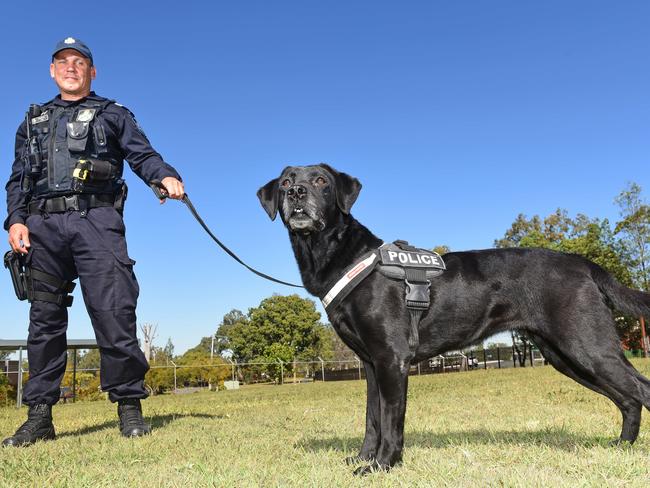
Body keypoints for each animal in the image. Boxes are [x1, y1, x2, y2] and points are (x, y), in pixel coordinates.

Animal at [256, 163, 648, 472]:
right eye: (287, 181)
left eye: (321, 180)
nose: (297, 193)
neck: (343, 256)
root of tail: (582, 263)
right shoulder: (370, 363)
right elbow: (371, 419)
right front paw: (363, 459)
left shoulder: (392, 358)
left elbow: (390, 420)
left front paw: (382, 465)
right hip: (564, 355)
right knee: (628, 399)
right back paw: (621, 447)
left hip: (587, 346)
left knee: (640, 390)